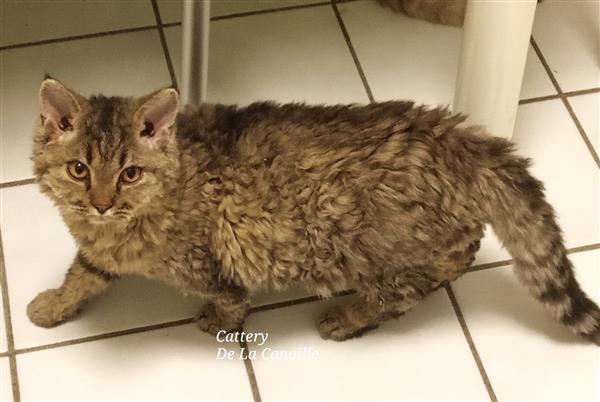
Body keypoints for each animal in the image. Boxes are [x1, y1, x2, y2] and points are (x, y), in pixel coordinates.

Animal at [29, 79, 600, 346]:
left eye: (130, 173)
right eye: (79, 169)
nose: (102, 201)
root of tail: (465, 140)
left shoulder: (215, 265)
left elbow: (232, 301)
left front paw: (217, 322)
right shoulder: (100, 253)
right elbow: (81, 276)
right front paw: (54, 305)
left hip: (384, 253)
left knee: (412, 284)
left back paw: (347, 319)